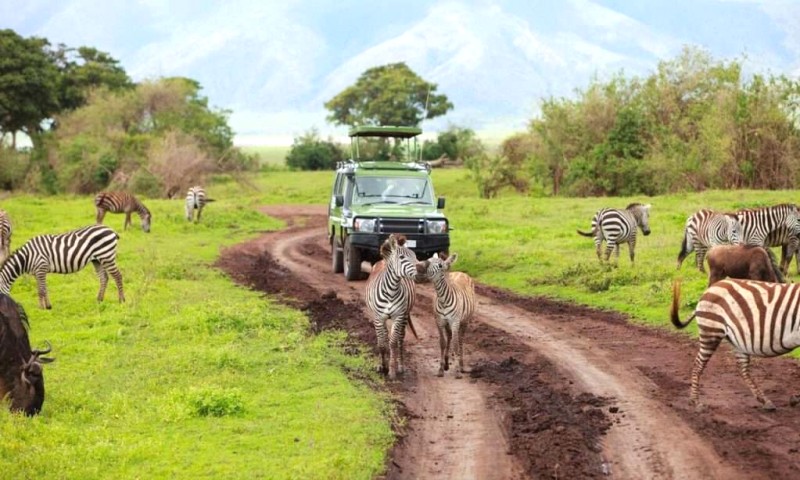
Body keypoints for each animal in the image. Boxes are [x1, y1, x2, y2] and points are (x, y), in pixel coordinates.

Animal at [668, 280, 800, 410]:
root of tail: (710, 289)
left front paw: (795, 398)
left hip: (738, 342)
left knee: (742, 369)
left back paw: (765, 401)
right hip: (711, 331)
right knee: (698, 365)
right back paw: (696, 402)